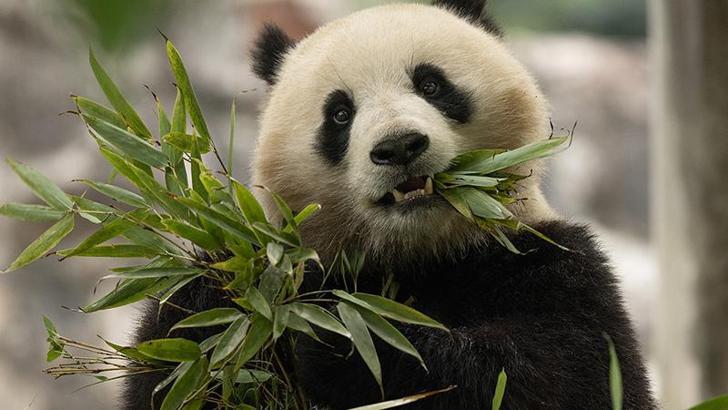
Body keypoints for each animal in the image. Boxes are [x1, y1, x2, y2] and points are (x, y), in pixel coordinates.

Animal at [123, 1, 657, 409]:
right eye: (339, 114)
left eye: (431, 84)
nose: (399, 147)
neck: (420, 255)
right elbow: (177, 361)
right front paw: (218, 294)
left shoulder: (554, 265)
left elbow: (554, 375)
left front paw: (344, 340)